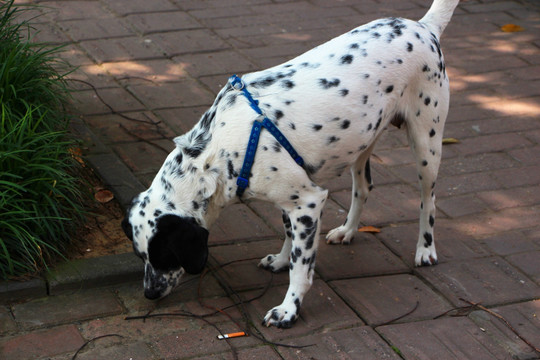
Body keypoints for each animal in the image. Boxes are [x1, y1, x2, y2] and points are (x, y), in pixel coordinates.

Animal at [122, 0, 460, 328]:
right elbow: (289, 239)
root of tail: (424, 27)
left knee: (428, 201)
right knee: (364, 188)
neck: (215, 152)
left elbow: (301, 267)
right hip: (364, 143)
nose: (149, 293)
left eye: (165, 254)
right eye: (141, 256)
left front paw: (289, 309)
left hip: (426, 144)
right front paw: (281, 260)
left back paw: (425, 249)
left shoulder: (308, 202)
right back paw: (347, 231)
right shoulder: (291, 201)